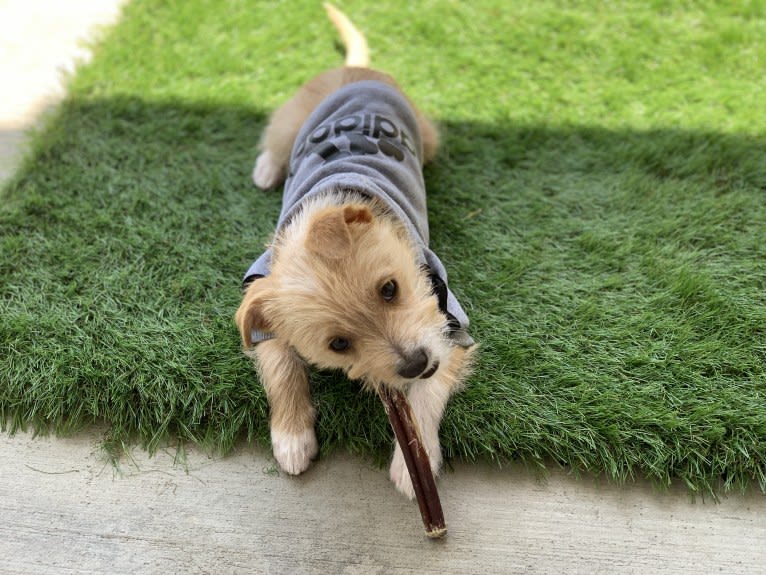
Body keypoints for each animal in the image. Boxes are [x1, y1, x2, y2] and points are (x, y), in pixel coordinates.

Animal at [236, 3, 474, 500]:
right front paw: (292, 438)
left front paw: (414, 462)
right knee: (274, 142)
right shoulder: (260, 314)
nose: (416, 363)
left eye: (390, 289)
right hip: (291, 122)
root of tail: (356, 70)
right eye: (339, 344)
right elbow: (281, 367)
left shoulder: (450, 328)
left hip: (426, 135)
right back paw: (266, 171)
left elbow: (430, 392)